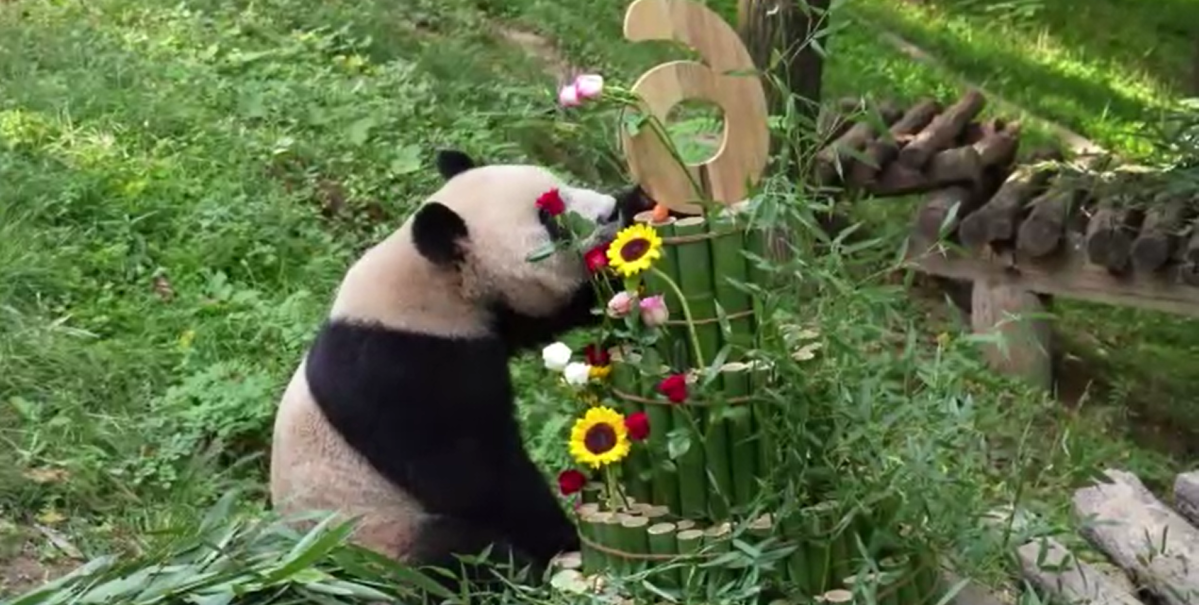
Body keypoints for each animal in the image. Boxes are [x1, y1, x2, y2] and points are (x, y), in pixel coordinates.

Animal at [268, 149, 653, 593]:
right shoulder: (404, 370)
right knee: (454, 554)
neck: (430, 284)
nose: (608, 212)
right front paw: (561, 539)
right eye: (548, 217)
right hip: (375, 535)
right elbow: (474, 477)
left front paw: (640, 205)